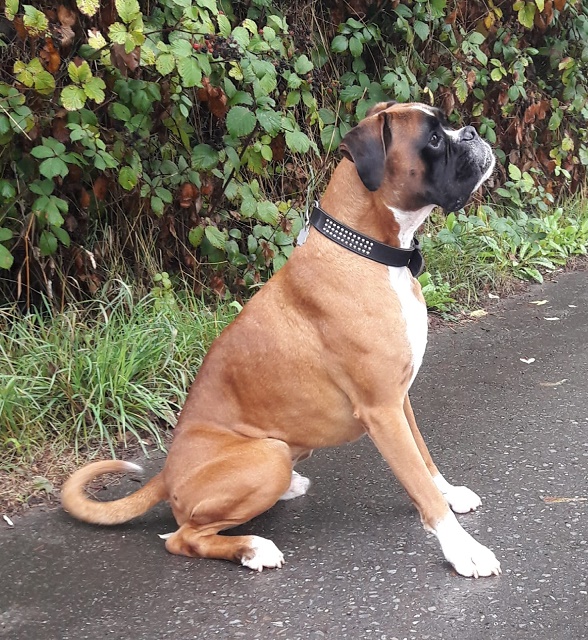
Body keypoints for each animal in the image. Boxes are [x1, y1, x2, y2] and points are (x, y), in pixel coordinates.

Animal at [62, 101, 501, 578]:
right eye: (434, 139)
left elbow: (424, 457)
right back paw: (252, 548)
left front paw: (450, 492)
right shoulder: (382, 410)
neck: (367, 249)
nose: (472, 131)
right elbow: (419, 485)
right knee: (182, 537)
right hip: (266, 456)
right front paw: (464, 550)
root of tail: (166, 474)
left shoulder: (399, 398)